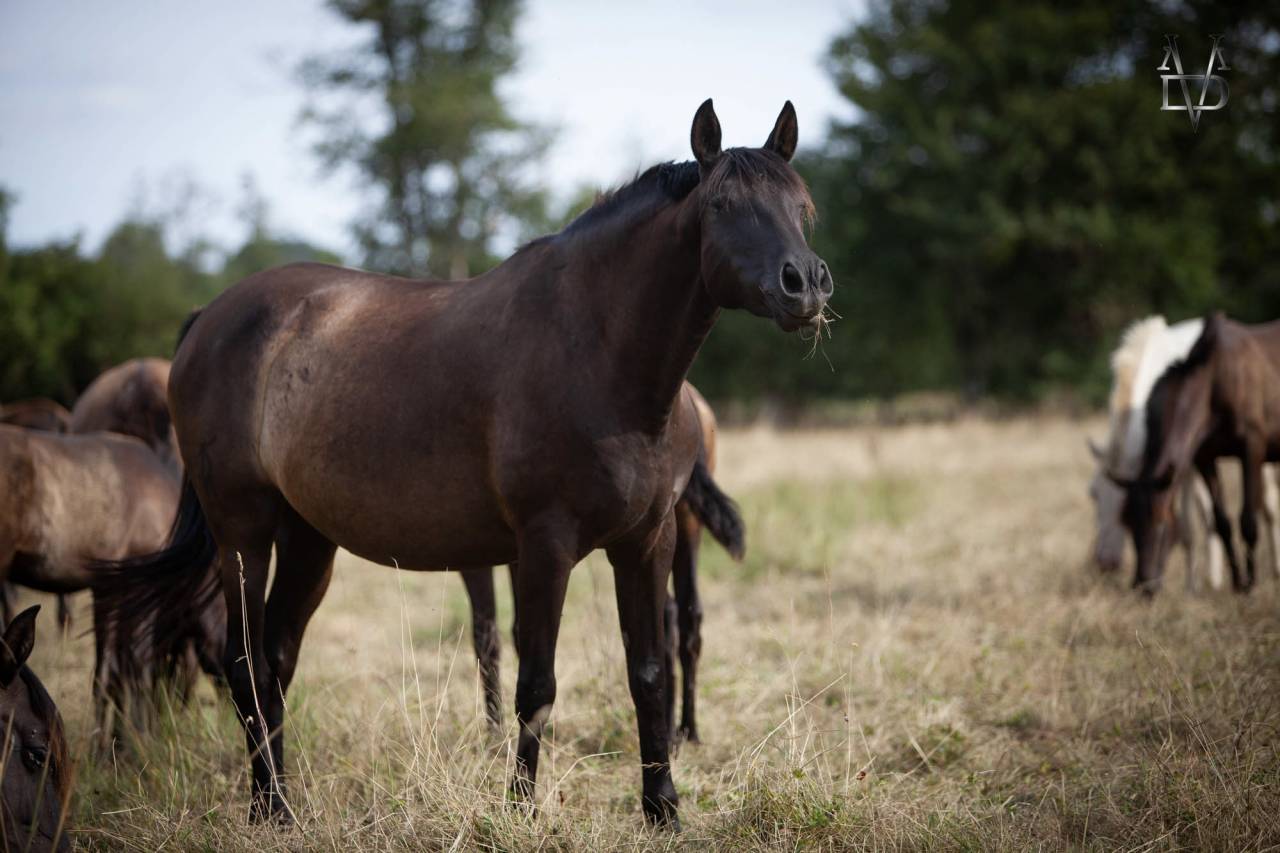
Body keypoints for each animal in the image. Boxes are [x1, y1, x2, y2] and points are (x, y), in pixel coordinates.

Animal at [459, 382, 744, 742]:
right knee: (687, 614)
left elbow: (487, 636)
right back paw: (686, 730)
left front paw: (495, 731)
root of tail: (689, 399)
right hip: (686, 523)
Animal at [1084, 315, 1278, 590]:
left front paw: (1192, 588)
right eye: (1093, 494)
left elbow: (1189, 527)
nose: (1105, 562)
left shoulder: (1189, 462)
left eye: (1123, 509)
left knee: (1269, 505)